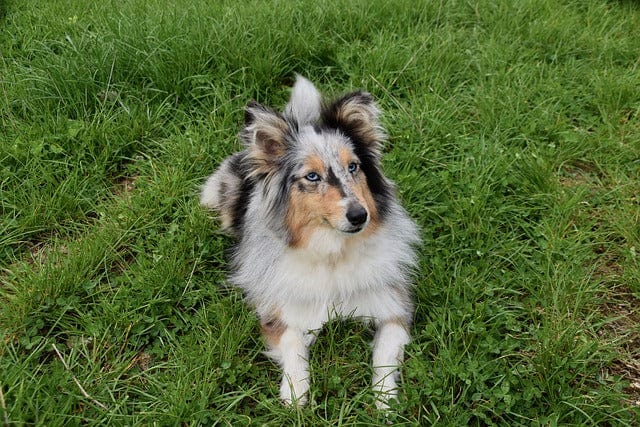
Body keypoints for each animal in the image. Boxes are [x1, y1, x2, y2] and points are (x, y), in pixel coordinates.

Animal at [200, 75, 420, 410]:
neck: (333, 252)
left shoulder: (395, 307)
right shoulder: (277, 309)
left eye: (353, 167)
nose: (360, 215)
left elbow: (384, 353)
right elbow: (293, 342)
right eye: (312, 177)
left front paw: (385, 399)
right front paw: (295, 390)